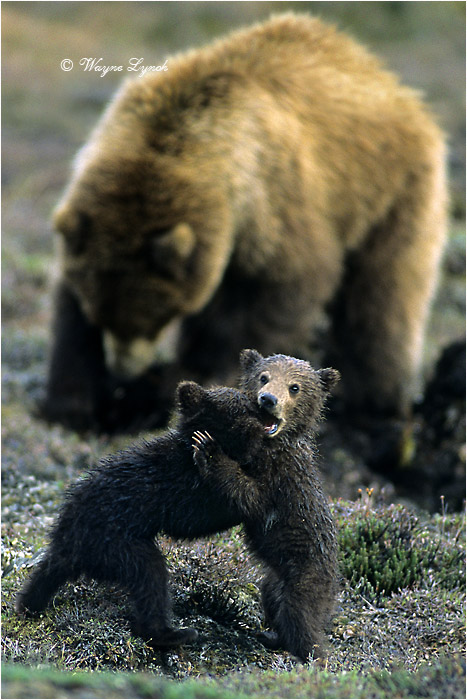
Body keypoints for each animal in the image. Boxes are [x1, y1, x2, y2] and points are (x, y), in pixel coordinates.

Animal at [15, 380, 265, 648]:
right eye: (243, 409)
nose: (263, 410)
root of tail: (68, 544)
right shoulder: (183, 485)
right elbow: (201, 515)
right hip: (115, 544)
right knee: (150, 576)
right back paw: (171, 633)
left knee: (44, 575)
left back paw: (27, 605)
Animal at [42, 13, 447, 433]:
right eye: (102, 313)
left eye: (154, 317)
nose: (124, 370)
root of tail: (392, 84)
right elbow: (68, 309)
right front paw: (72, 404)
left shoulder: (274, 197)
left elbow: (288, 284)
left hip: (392, 193)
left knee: (383, 302)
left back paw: (376, 409)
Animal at [192, 349, 340, 662]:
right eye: (264, 377)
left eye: (294, 387)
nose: (268, 399)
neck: (271, 446)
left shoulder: (281, 483)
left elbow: (251, 498)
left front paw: (208, 449)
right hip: (274, 579)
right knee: (272, 601)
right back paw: (270, 636)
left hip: (307, 575)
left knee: (301, 617)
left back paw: (311, 655)